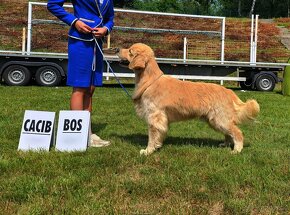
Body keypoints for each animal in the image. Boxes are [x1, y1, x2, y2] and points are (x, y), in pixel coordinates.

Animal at [116, 42, 260, 155]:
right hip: (215, 120)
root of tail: (228, 91)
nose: (116, 49)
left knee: (237, 132)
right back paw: (225, 145)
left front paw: (148, 151)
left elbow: (152, 136)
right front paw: (157, 146)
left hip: (220, 119)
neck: (150, 81)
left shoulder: (154, 116)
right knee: (229, 133)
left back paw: (236, 150)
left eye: (130, 51)